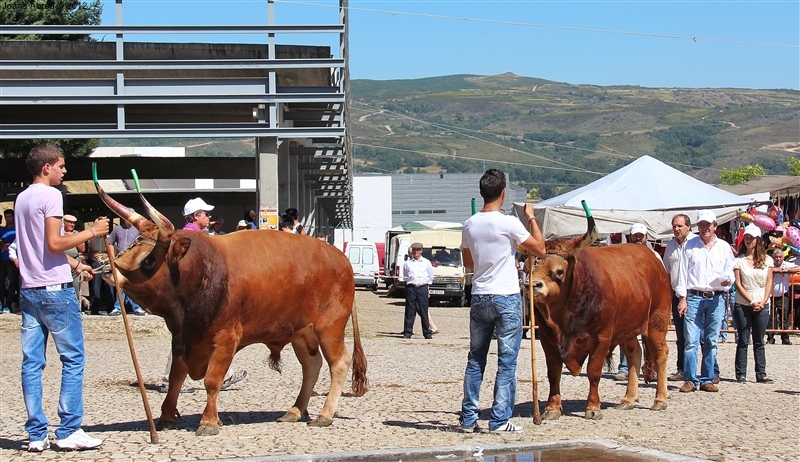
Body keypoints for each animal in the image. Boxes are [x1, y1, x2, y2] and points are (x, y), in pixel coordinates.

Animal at [95, 183, 368, 434]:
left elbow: (212, 380)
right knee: (312, 366)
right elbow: (175, 378)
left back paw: (325, 414)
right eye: (134, 245)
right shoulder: (182, 338)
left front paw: (208, 421)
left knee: (339, 363)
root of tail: (340, 258)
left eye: (149, 260)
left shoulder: (226, 339)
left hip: (329, 327)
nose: (107, 270)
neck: (203, 270)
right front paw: (167, 417)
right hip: (301, 332)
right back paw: (295, 410)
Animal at [528, 213, 672, 418]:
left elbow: (593, 371)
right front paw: (552, 408)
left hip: (656, 323)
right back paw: (628, 399)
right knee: (634, 353)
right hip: (626, 328)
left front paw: (593, 408)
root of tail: (653, 258)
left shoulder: (602, 338)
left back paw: (660, 400)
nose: (533, 285)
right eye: (530, 267)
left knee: (661, 354)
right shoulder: (548, 340)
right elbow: (554, 373)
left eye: (559, 271)